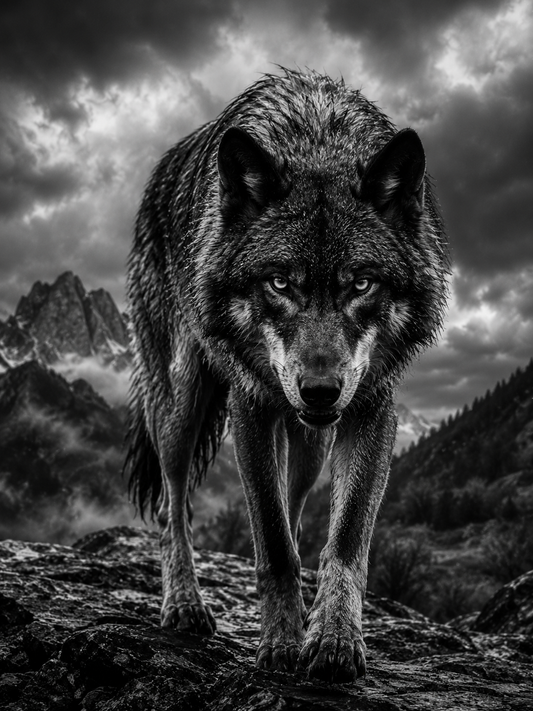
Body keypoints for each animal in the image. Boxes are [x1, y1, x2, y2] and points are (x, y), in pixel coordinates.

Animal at [125, 68, 448, 683]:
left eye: (361, 284)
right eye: (280, 283)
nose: (319, 391)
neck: (317, 142)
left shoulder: (373, 408)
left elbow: (343, 540)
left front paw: (334, 639)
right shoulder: (251, 405)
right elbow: (272, 544)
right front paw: (279, 645)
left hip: (311, 441)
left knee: (294, 505)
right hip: (181, 403)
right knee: (174, 504)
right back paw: (184, 603)